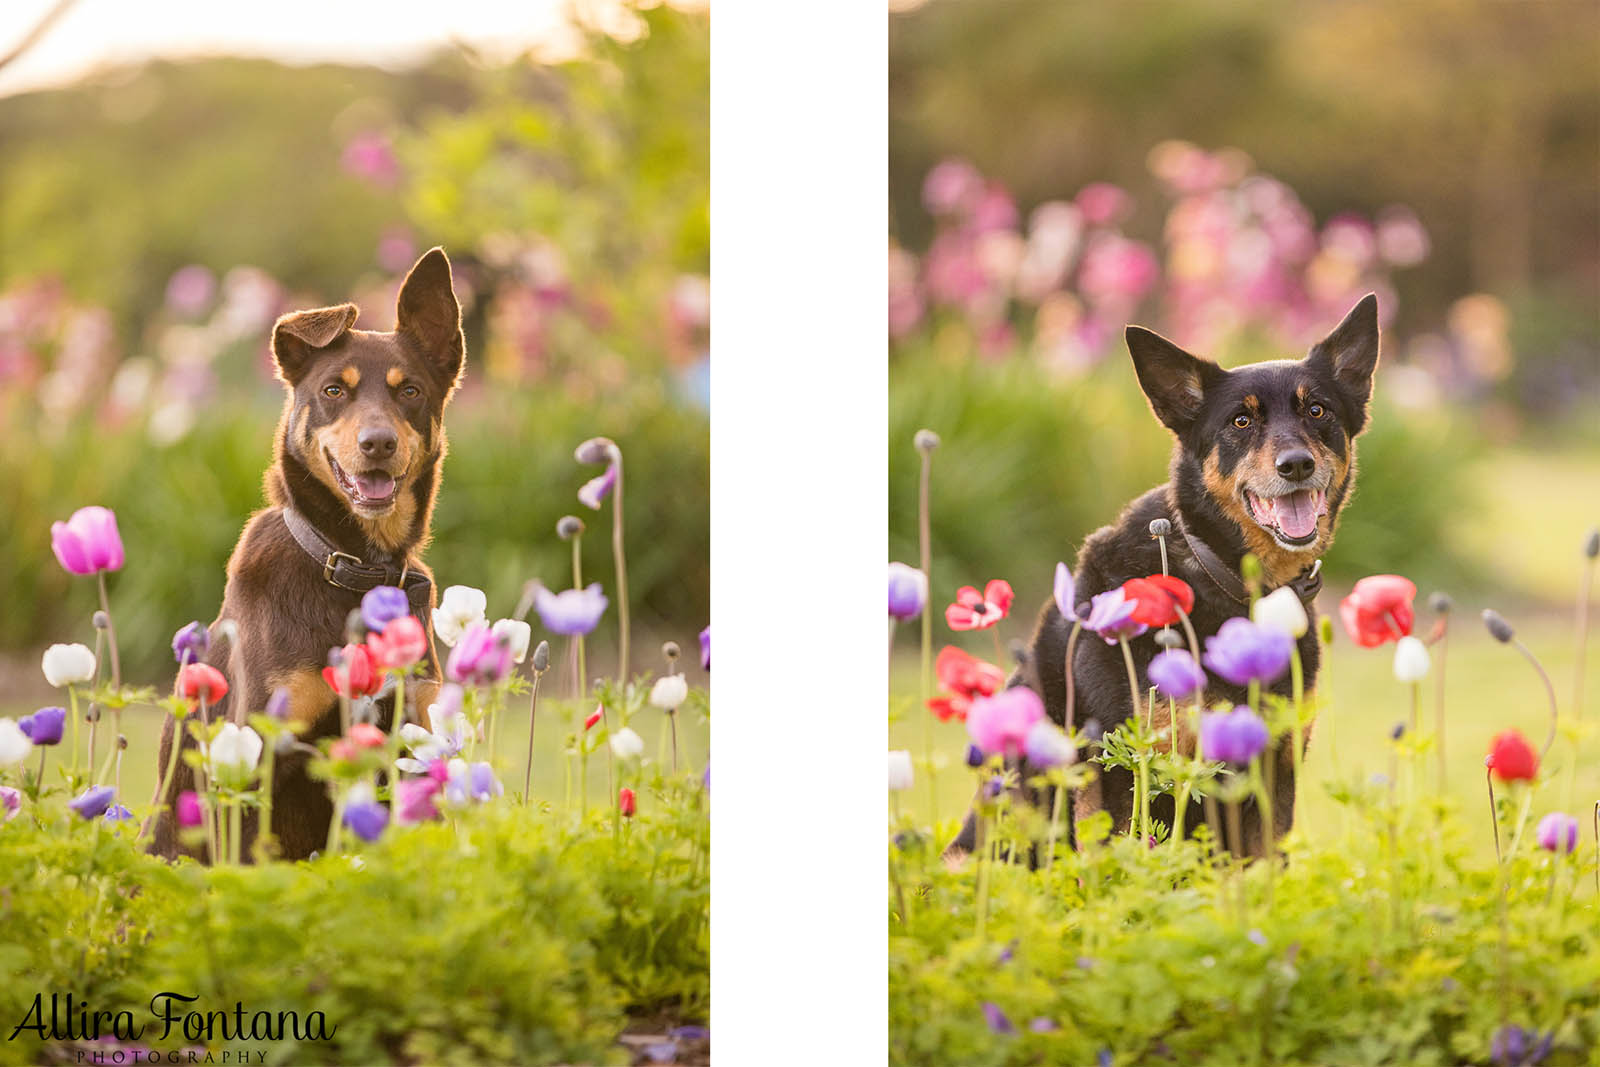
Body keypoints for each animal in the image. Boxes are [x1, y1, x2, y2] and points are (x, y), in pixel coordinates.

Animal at [150, 247, 467, 857]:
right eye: (334, 391)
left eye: (410, 391)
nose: (377, 444)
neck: (357, 570)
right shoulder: (258, 760)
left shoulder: (412, 742)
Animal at [947, 292, 1376, 857]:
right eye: (1241, 422)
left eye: (1317, 409)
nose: (1297, 465)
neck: (1226, 582)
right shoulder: (1123, 772)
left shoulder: (1274, 774)